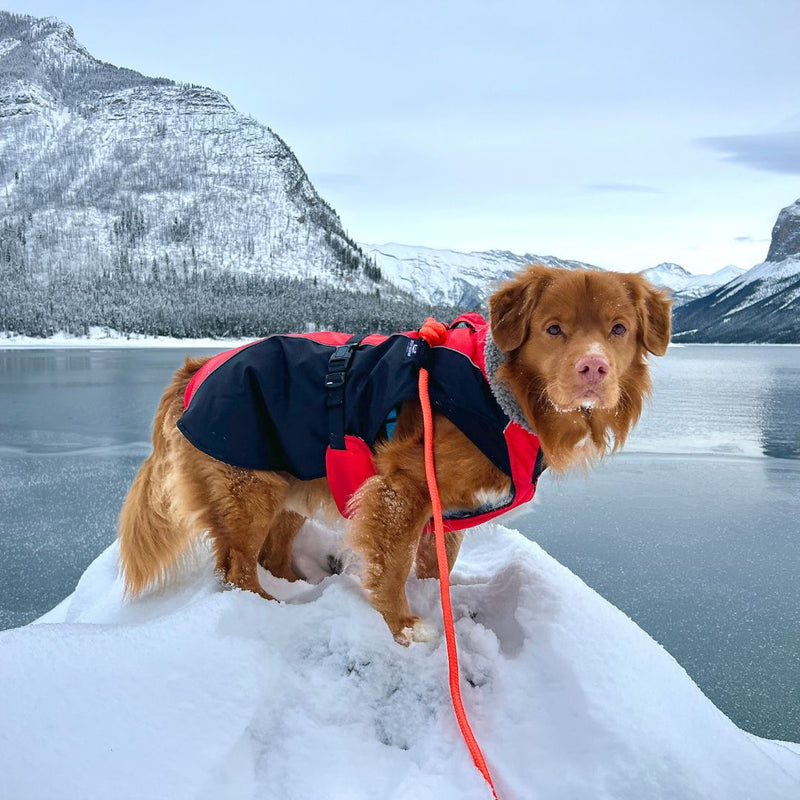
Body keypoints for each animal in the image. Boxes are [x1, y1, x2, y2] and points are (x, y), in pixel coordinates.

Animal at [117, 266, 668, 648]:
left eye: (618, 329)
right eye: (553, 329)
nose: (593, 368)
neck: (500, 396)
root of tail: (195, 367)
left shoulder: (448, 509)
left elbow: (433, 565)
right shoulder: (403, 488)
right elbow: (394, 565)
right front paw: (402, 624)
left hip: (292, 482)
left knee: (270, 554)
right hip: (249, 488)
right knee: (237, 568)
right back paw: (273, 610)